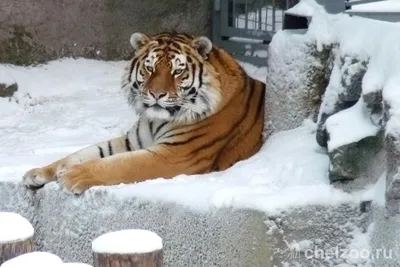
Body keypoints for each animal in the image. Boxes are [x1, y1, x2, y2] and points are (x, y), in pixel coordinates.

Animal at [21, 31, 266, 195]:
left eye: (177, 71)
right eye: (150, 68)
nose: (156, 94)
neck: (156, 120)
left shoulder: (177, 154)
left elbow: (119, 163)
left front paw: (73, 175)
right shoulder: (132, 140)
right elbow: (82, 153)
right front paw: (38, 173)